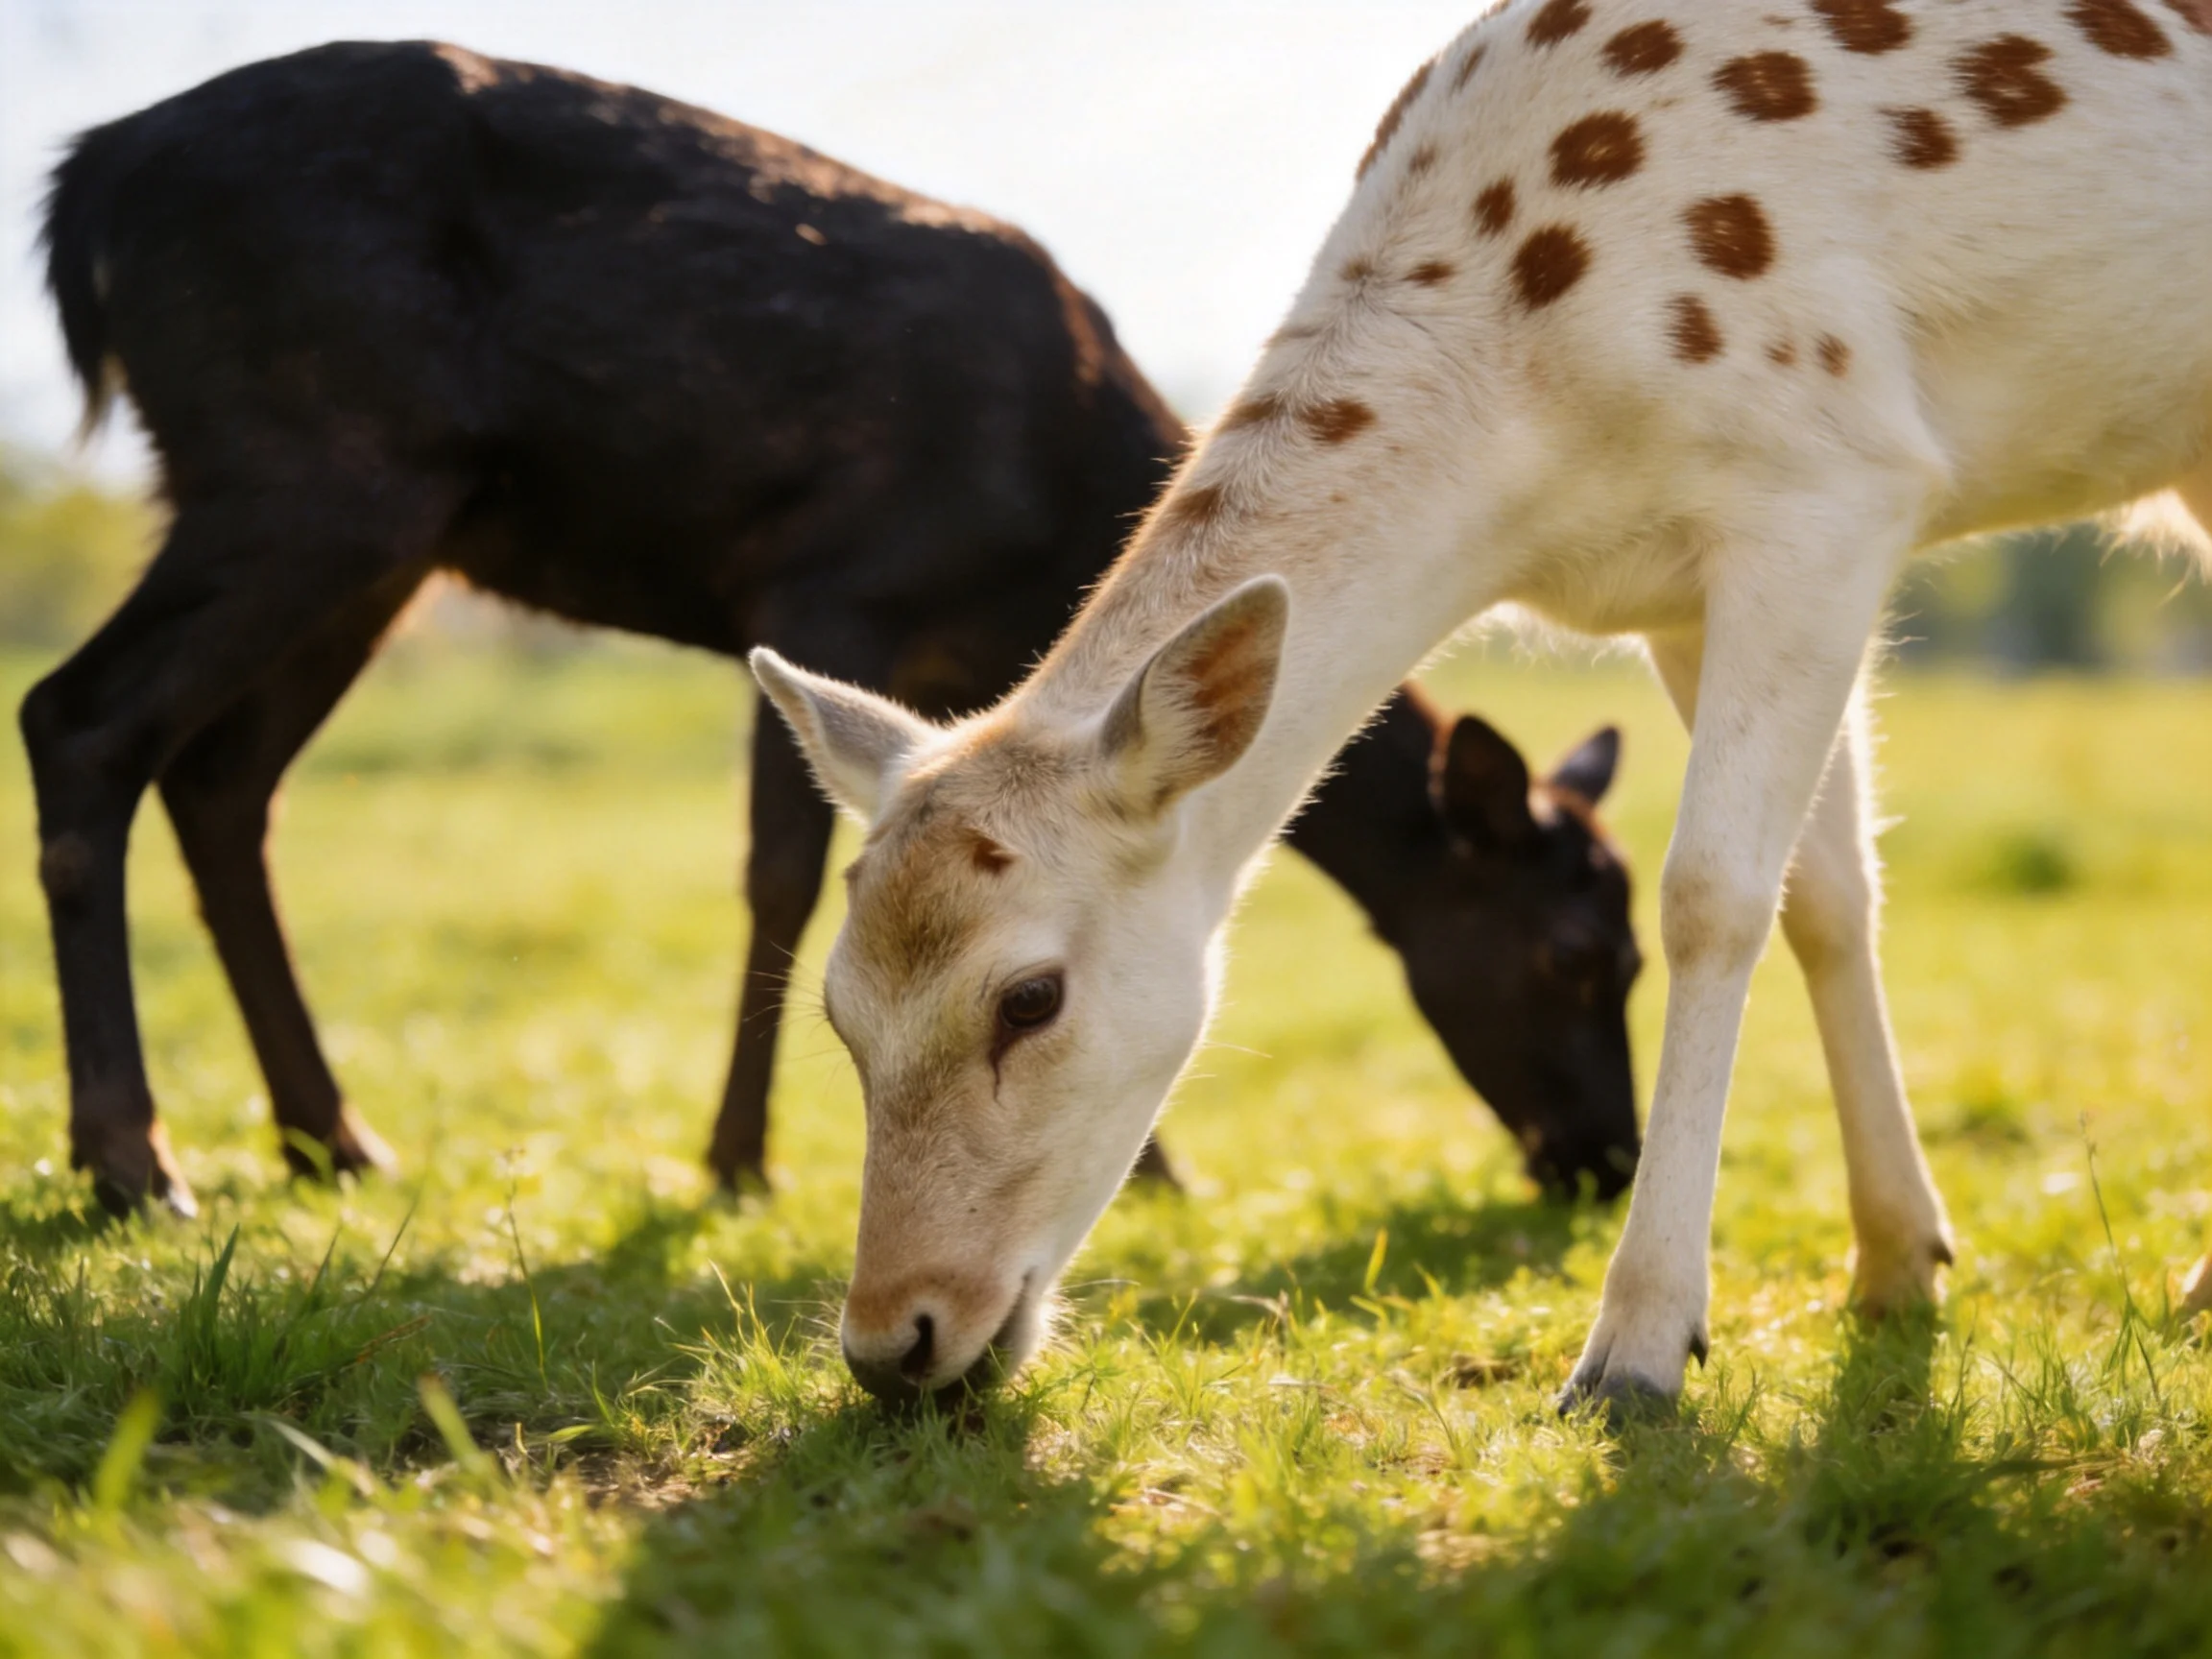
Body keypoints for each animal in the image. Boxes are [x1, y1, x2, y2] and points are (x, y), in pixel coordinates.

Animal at [22, 40, 1643, 1222]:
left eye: (1633, 953)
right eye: (1574, 952)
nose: (1606, 1159)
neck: (1043, 534)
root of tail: (87, 187)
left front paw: (1152, 1170)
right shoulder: (827, 583)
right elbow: (783, 877)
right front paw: (737, 1163)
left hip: (374, 525)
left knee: (222, 779)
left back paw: (332, 1139)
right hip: (305, 463)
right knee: (79, 716)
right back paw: (133, 1161)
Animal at [751, 0, 2212, 1406]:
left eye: (1030, 998)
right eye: (838, 1011)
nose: (893, 1342)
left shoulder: (1831, 482)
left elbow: (1712, 894)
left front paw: (1638, 1351)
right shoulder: (1684, 591)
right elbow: (1826, 891)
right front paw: (1901, 1261)